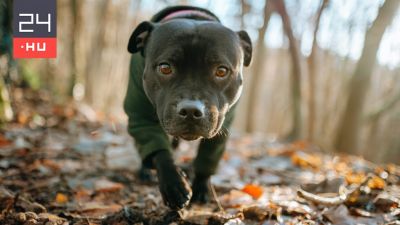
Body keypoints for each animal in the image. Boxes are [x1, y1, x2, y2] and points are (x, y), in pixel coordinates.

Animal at [123, 5, 252, 209]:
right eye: (165, 68)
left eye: (221, 71)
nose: (191, 110)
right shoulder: (139, 115)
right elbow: (159, 149)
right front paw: (173, 184)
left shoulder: (222, 125)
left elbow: (207, 158)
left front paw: (201, 187)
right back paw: (146, 169)